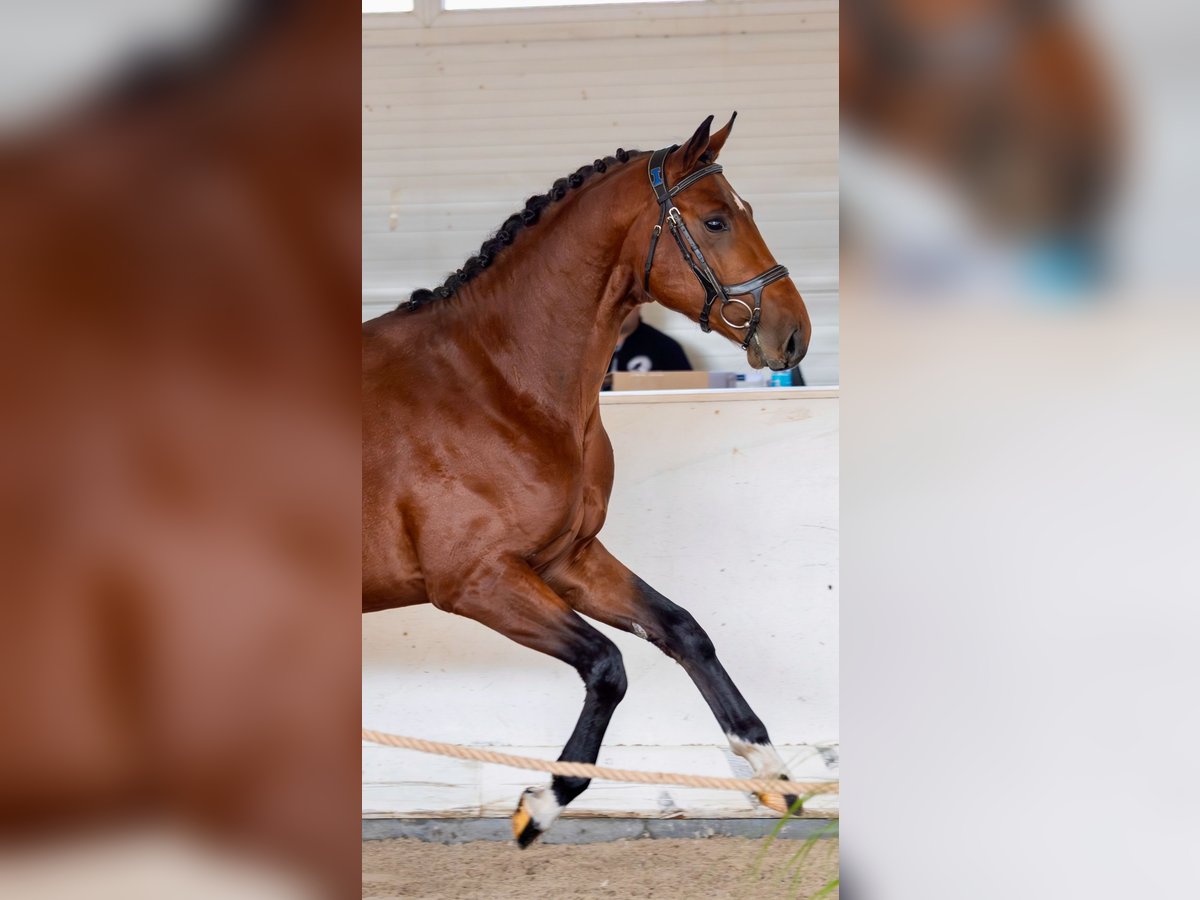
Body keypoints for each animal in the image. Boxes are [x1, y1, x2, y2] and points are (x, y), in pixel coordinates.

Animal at [362, 114, 812, 847]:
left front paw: (771, 773)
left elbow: (684, 630)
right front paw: (541, 802)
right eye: (716, 221)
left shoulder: (567, 559)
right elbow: (607, 666)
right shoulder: (477, 582)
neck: (499, 383)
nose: (793, 333)